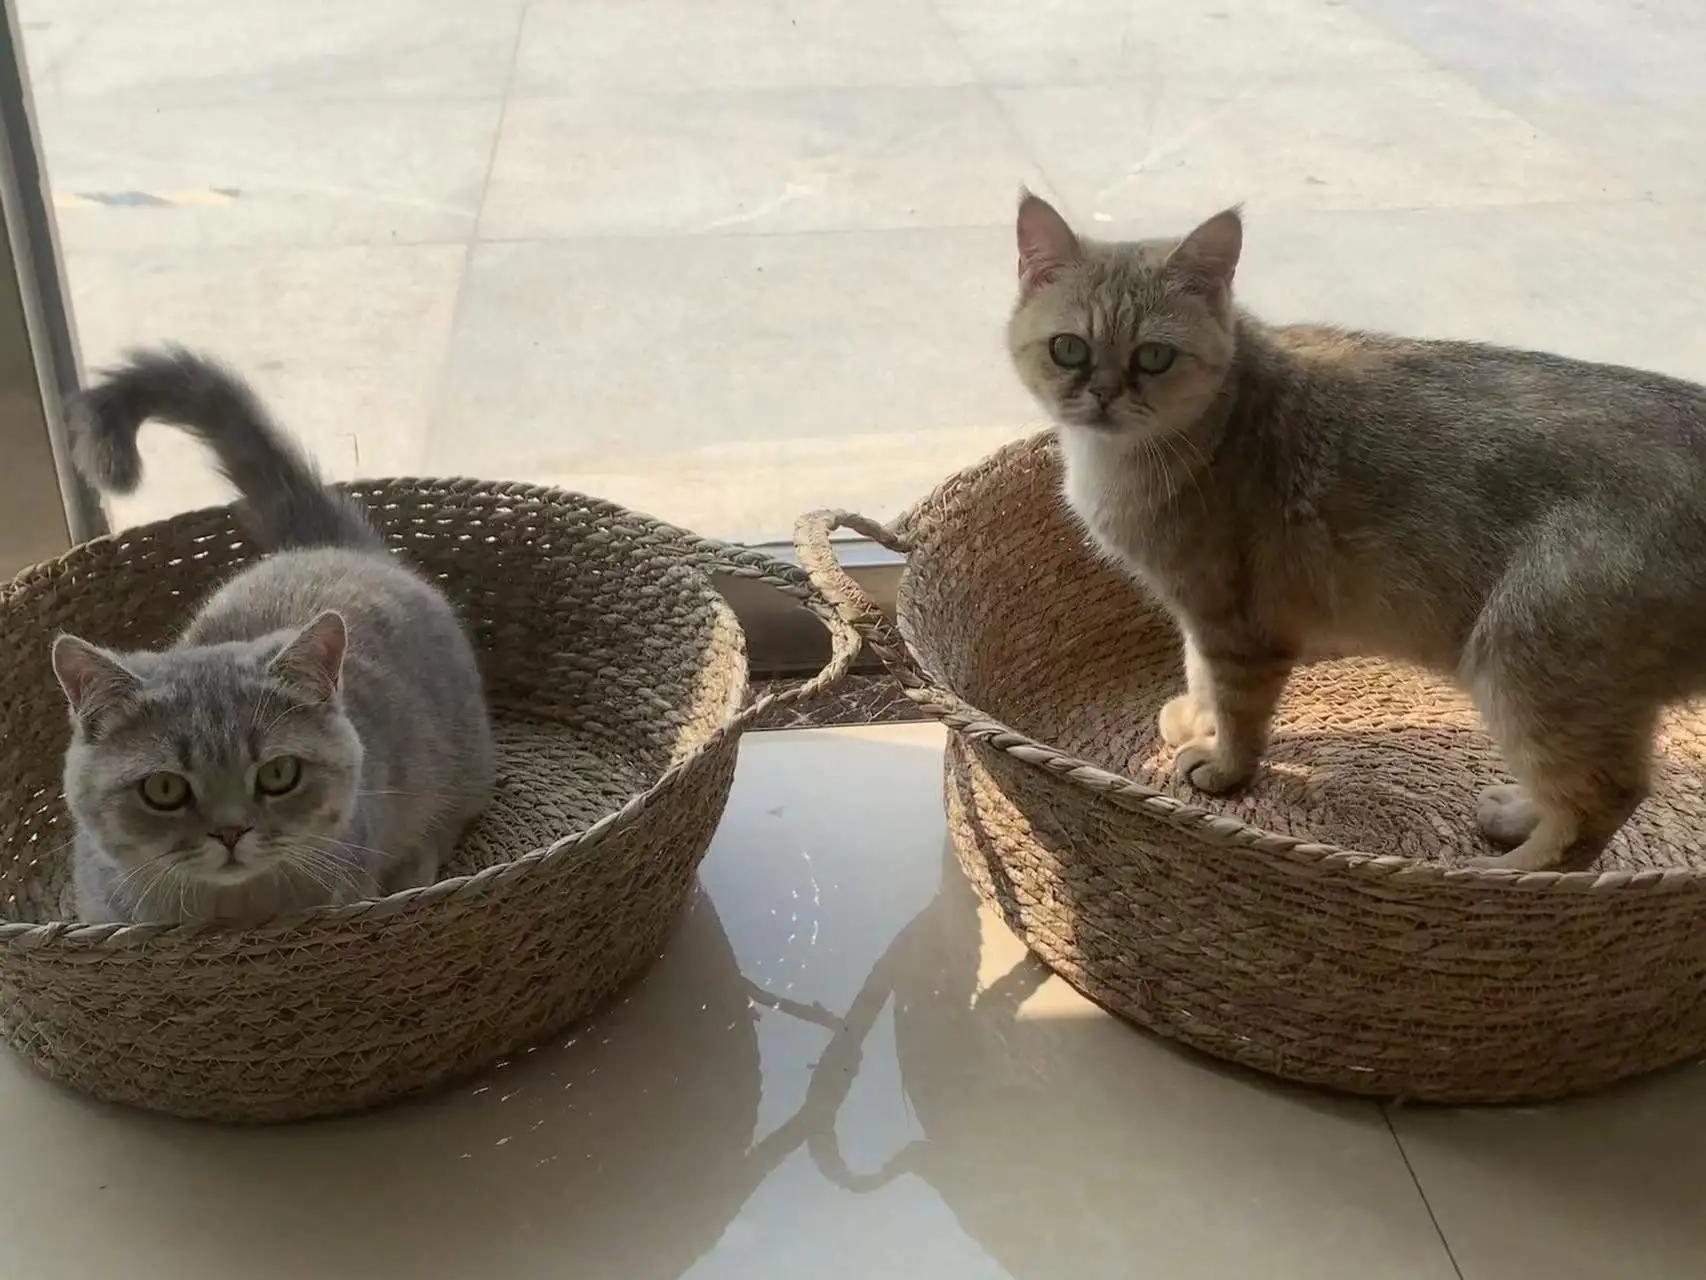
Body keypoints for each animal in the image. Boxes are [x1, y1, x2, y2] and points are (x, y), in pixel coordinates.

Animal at [53, 347, 496, 924]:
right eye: (164, 788)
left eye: (280, 773)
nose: (230, 831)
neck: (234, 915)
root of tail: (330, 546)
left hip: (458, 770)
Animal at [1007, 191, 1706, 872]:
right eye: (1069, 348)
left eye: (1153, 356)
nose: (1101, 394)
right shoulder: (1199, 616)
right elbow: (1196, 671)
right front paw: (1196, 720)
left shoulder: (1239, 627)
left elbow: (1238, 712)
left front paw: (1223, 764)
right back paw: (1516, 815)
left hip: (1524, 666)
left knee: (1599, 806)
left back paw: (1504, 868)